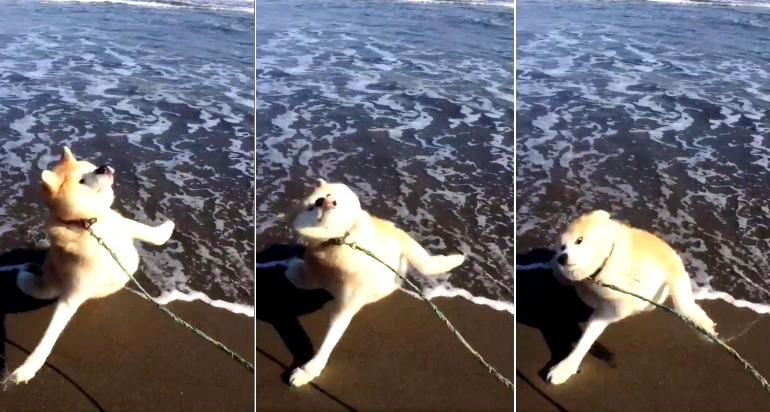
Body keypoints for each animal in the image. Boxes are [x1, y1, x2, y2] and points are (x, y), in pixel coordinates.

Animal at [3, 146, 174, 384]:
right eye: (82, 181)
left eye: (91, 168)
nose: (103, 167)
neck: (90, 225)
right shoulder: (70, 298)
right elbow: (48, 338)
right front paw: (28, 367)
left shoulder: (124, 226)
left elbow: (153, 236)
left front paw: (167, 227)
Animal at [282, 179, 462, 386]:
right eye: (313, 206)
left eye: (327, 196)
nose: (324, 202)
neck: (341, 240)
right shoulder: (323, 279)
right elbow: (306, 280)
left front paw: (308, 370)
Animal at [544, 211, 712, 384]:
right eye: (562, 247)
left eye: (579, 240)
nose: (561, 258)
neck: (606, 267)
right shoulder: (606, 311)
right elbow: (585, 341)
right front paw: (565, 367)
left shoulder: (673, 270)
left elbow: (683, 303)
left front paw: (703, 327)